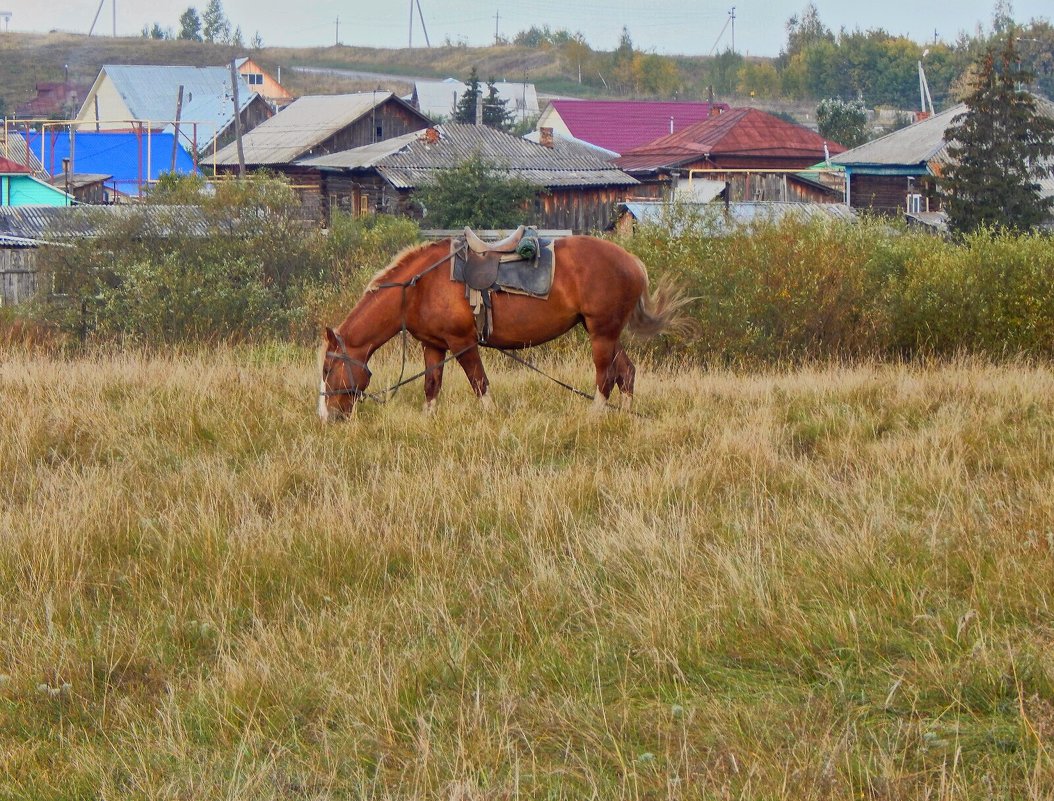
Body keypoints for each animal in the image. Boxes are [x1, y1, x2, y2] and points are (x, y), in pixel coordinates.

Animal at [316, 235, 687, 421]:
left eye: (328, 368)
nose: (326, 416)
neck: (418, 288)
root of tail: (632, 262)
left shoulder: (462, 342)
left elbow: (479, 382)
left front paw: (491, 417)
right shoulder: (433, 345)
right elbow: (431, 385)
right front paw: (429, 419)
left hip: (601, 333)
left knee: (605, 376)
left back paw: (595, 414)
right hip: (606, 333)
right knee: (626, 372)